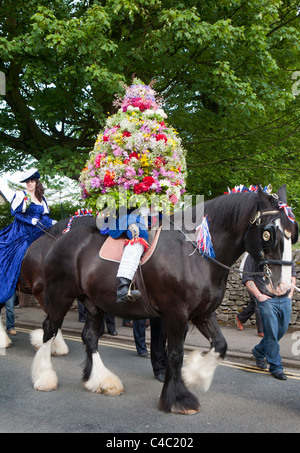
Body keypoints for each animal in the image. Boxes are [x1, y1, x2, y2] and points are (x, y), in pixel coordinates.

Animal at [28, 185, 298, 412]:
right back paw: (45, 377)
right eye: (268, 234)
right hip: (60, 296)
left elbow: (220, 346)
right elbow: (175, 354)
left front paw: (195, 374)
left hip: (94, 304)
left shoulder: (202, 314)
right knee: (49, 329)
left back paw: (101, 380)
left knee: (90, 337)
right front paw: (178, 398)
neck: (196, 255)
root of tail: (60, 239)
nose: (284, 286)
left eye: (292, 234)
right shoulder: (176, 313)